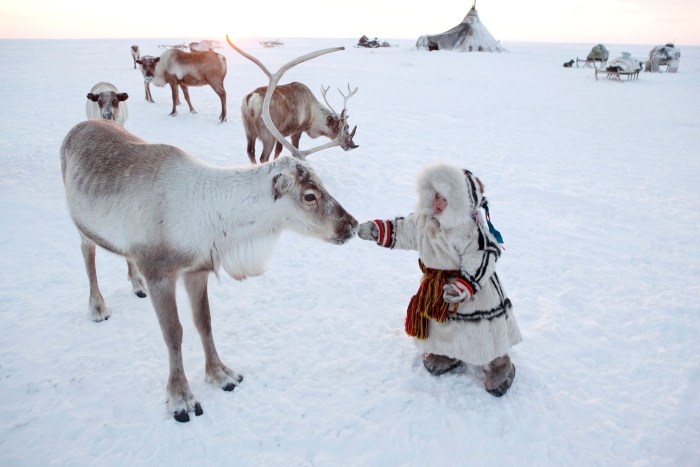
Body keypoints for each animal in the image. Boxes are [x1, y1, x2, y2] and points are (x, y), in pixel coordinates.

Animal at [61, 40, 358, 423]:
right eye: (309, 195)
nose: (351, 224)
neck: (210, 219)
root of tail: (76, 128)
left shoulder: (198, 268)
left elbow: (204, 323)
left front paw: (221, 374)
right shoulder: (160, 270)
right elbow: (173, 334)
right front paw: (181, 398)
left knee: (120, 255)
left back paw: (134, 284)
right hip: (80, 222)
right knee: (88, 254)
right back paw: (97, 307)